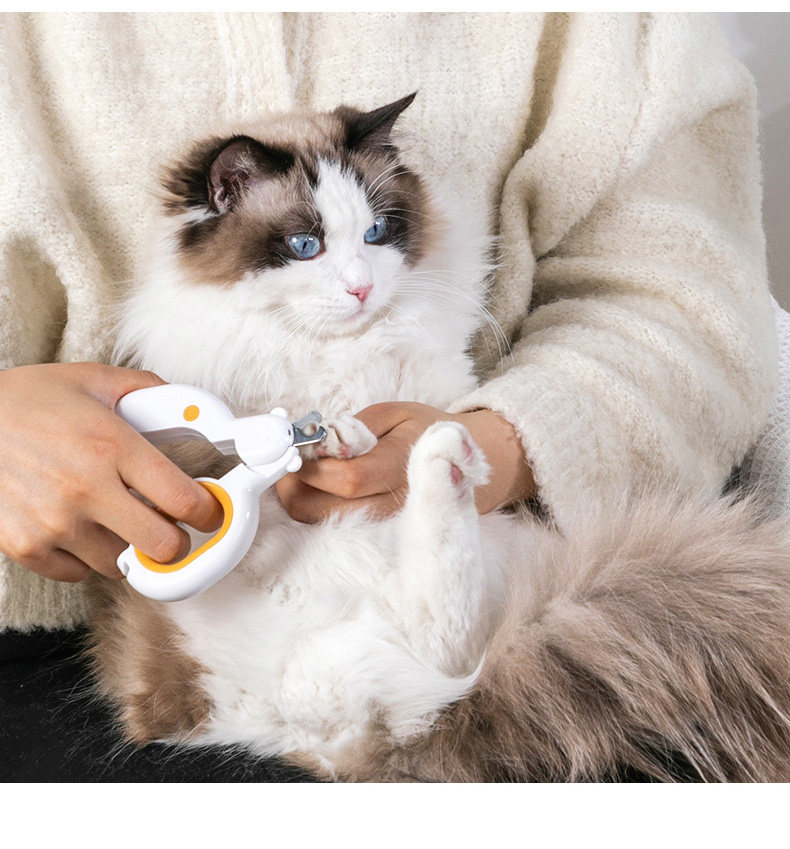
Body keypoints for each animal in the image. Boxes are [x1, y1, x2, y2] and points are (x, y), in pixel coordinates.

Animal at [88, 94, 790, 782]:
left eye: (376, 233)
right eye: (304, 243)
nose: (362, 288)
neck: (344, 360)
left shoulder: (436, 391)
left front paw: (346, 438)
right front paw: (328, 441)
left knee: (449, 636)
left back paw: (428, 455)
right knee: (443, 639)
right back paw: (439, 461)